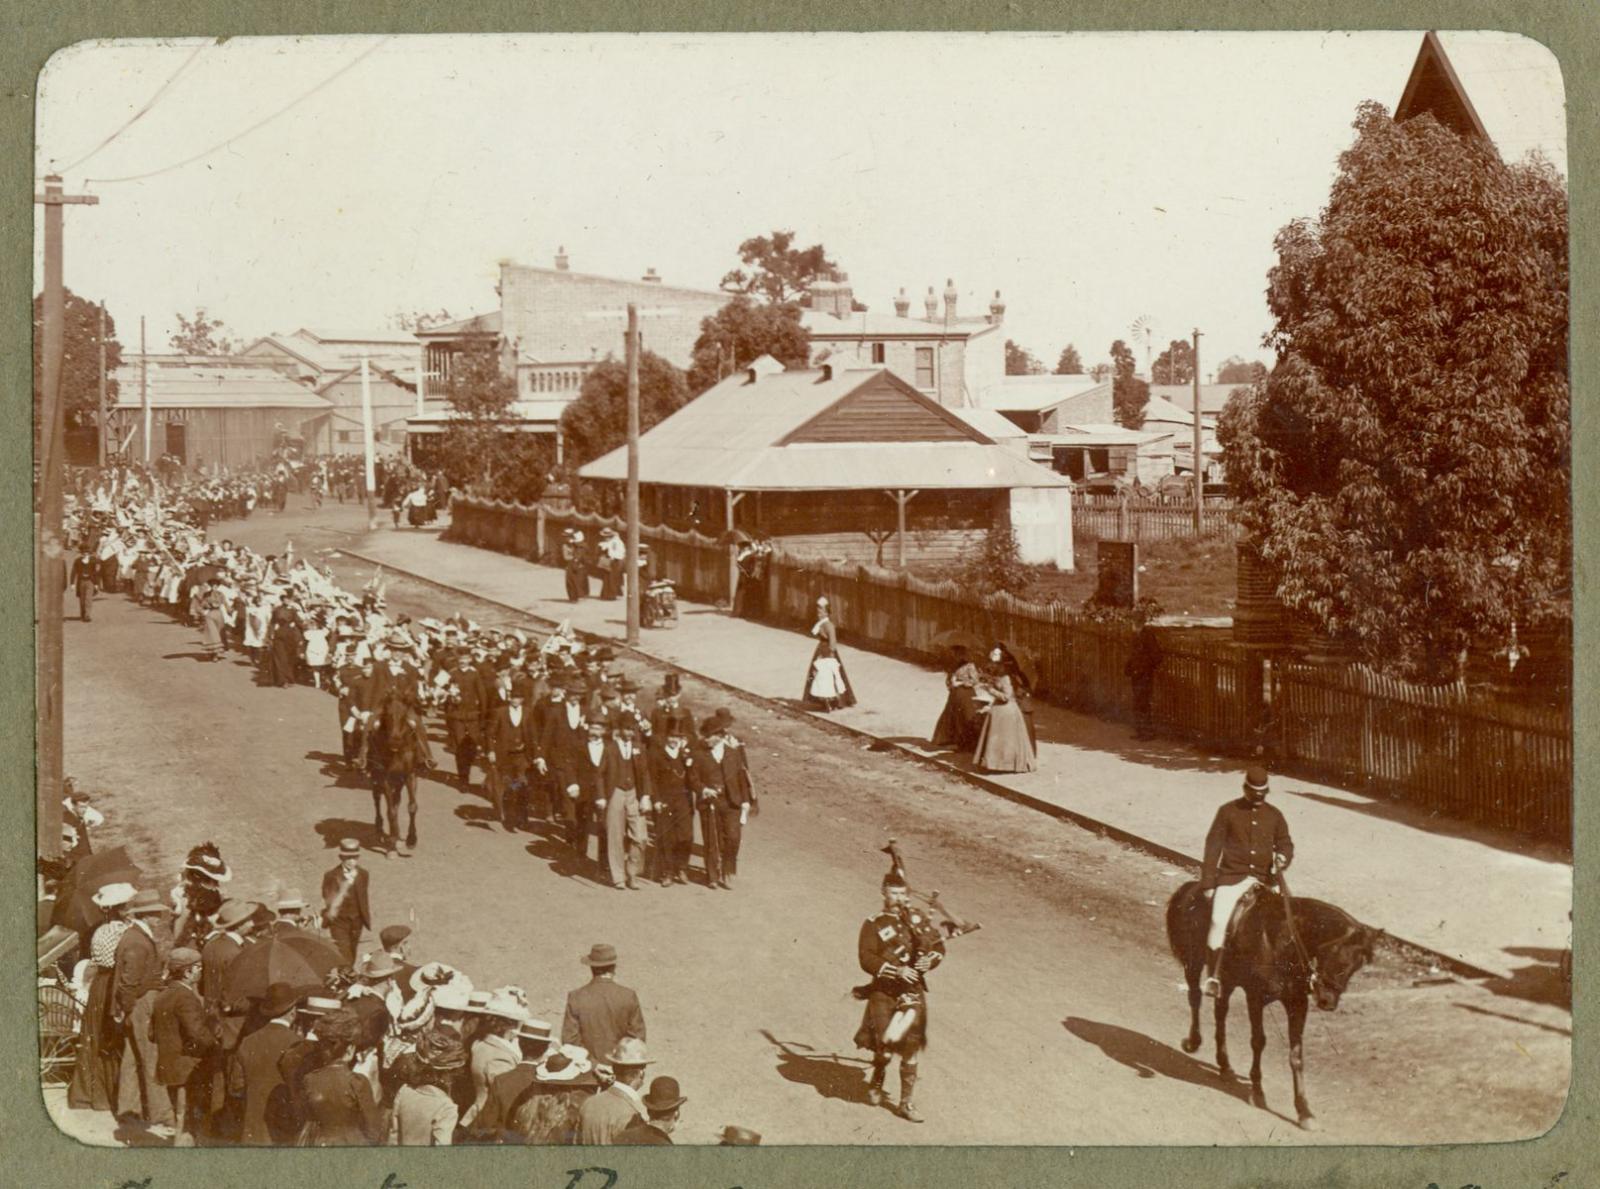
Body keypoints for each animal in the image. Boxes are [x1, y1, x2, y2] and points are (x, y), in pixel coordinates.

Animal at [366, 697, 435, 857]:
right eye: (388, 715)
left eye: (404, 716)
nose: (395, 741)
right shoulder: (384, 776)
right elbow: (390, 810)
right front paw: (392, 843)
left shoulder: (410, 775)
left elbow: (412, 806)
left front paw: (411, 840)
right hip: (376, 776)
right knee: (377, 799)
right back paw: (381, 828)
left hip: (399, 781)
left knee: (396, 800)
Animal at [1164, 876, 1376, 1132]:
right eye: (1339, 959)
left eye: (1357, 967)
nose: (1327, 1002)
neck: (1284, 940)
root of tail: (1191, 886)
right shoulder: (1255, 997)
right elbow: (1258, 1042)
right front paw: (1257, 1092)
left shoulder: (1297, 1003)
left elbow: (1296, 1055)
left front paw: (1304, 1111)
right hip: (1193, 963)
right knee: (1195, 998)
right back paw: (1193, 1042)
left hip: (1227, 978)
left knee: (1220, 1012)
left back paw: (1225, 1066)